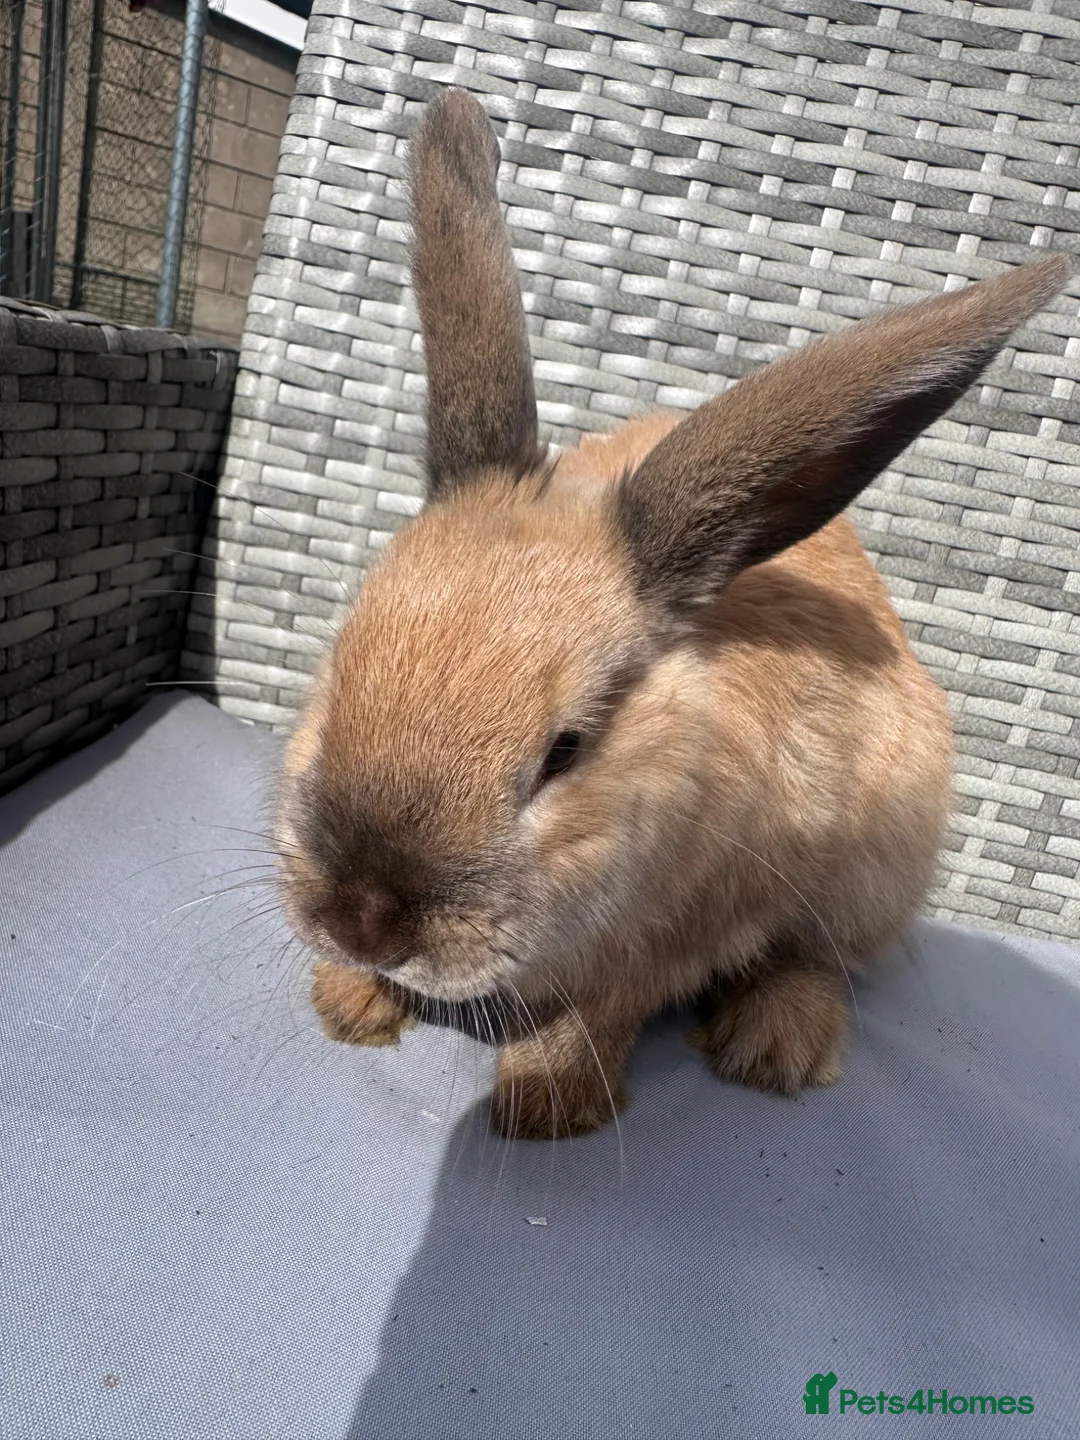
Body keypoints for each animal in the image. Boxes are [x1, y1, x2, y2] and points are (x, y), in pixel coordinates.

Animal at [274, 87, 1070, 1141]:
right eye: (337, 672)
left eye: (564, 751)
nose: (362, 917)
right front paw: (352, 1004)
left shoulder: (664, 946)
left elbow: (599, 1017)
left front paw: (545, 1106)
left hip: (877, 863)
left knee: (821, 960)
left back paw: (774, 1046)